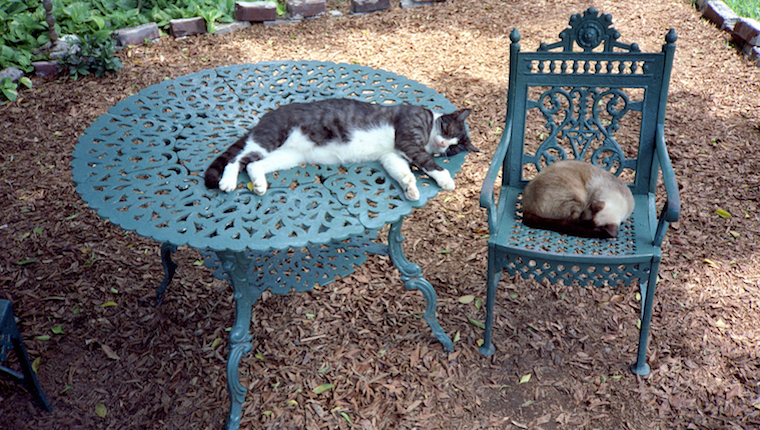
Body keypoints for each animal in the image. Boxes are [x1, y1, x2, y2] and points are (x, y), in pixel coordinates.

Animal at [202, 99, 476, 202]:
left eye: (455, 148)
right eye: (448, 131)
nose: (444, 145)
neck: (430, 126)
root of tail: (265, 117)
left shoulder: (391, 155)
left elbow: (401, 171)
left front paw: (409, 187)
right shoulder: (407, 140)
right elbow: (427, 162)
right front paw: (445, 179)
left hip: (288, 156)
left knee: (253, 164)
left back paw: (259, 184)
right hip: (269, 138)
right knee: (238, 159)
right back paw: (228, 181)